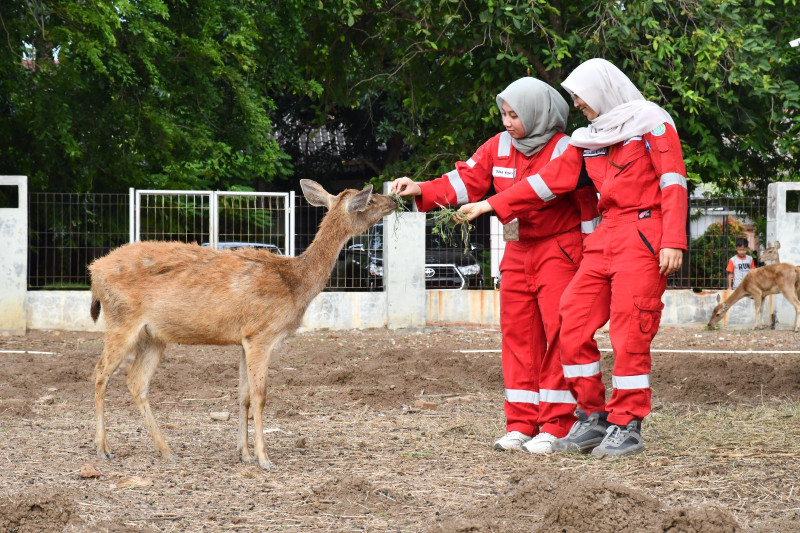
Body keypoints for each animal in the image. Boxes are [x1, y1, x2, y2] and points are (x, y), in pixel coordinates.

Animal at [90, 180, 396, 470]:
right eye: (369, 199)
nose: (394, 199)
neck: (295, 283)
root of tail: (93, 271)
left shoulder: (243, 339)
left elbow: (243, 395)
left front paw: (244, 453)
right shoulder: (262, 334)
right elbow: (260, 396)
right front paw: (264, 457)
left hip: (153, 336)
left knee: (136, 381)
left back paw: (166, 450)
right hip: (121, 320)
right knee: (100, 373)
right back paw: (103, 448)